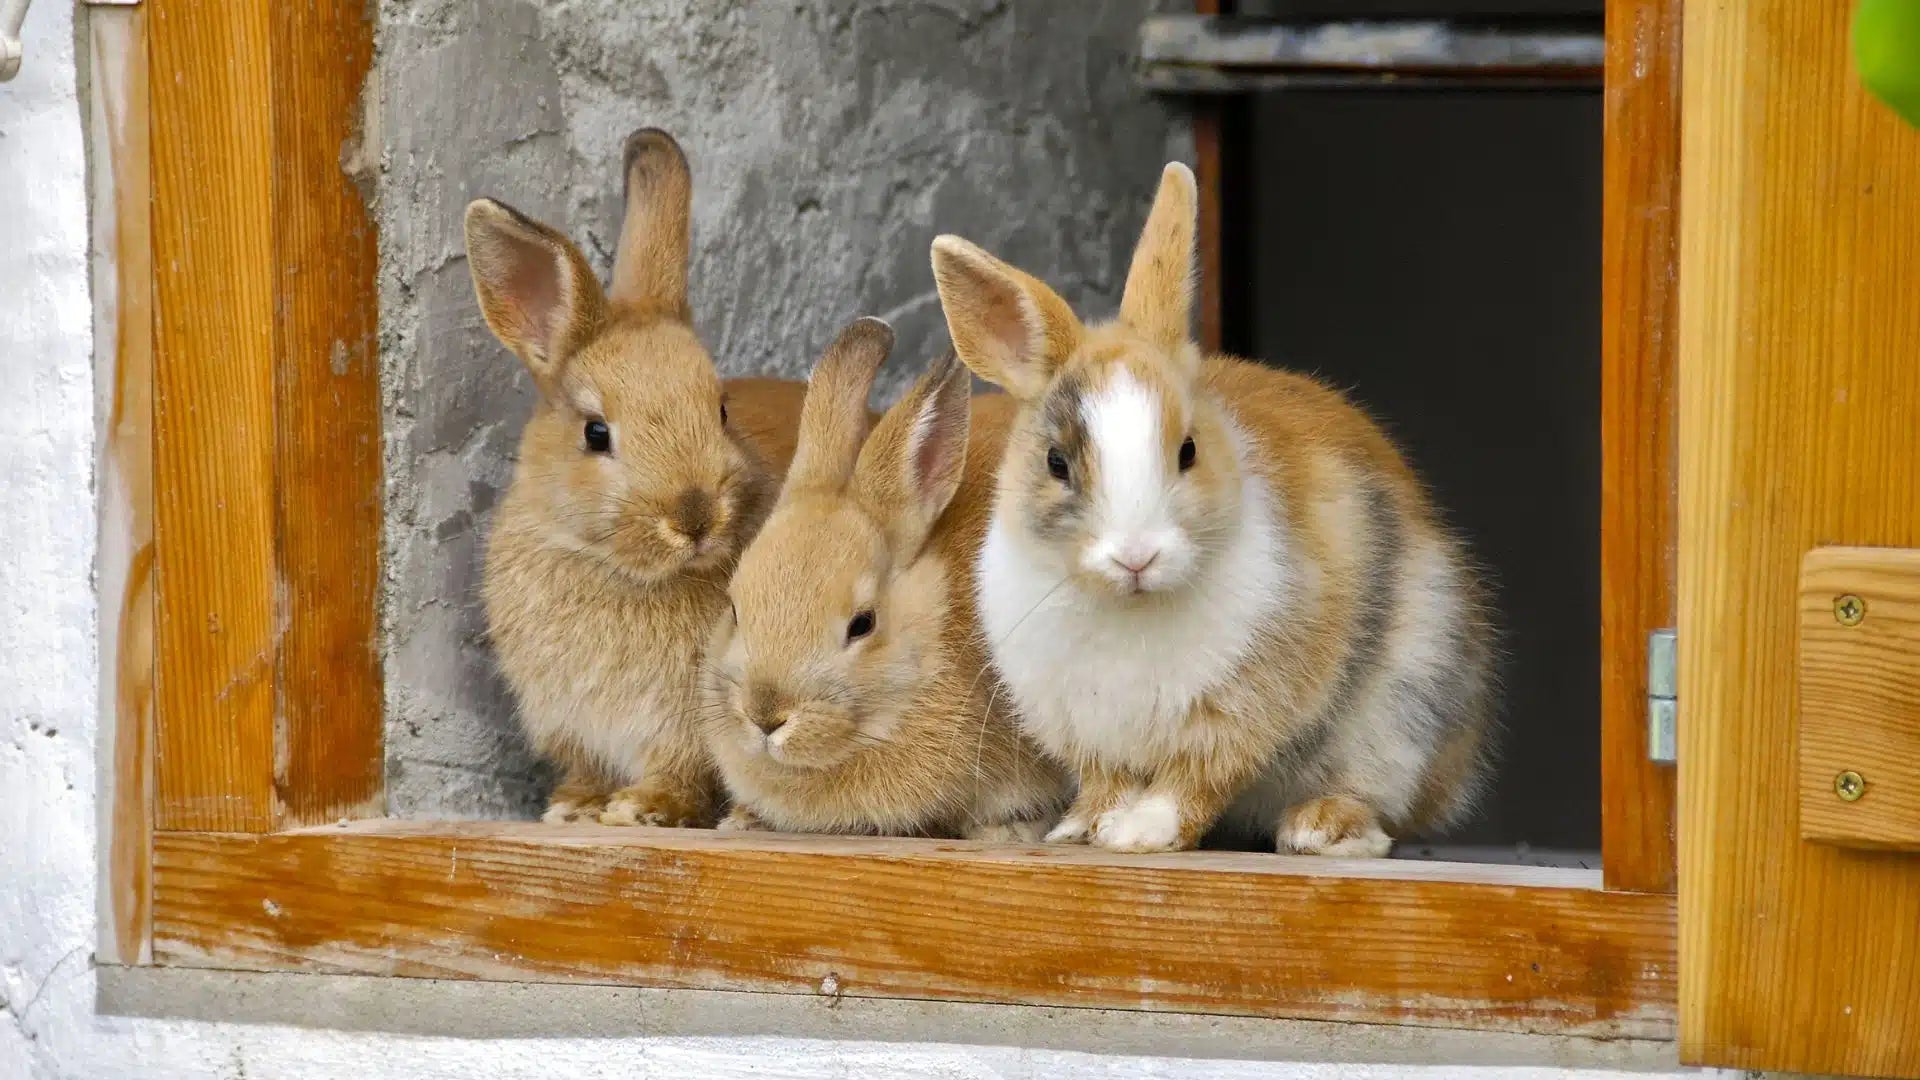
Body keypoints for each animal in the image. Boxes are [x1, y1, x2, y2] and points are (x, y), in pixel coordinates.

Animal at [465, 129, 808, 827]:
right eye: (596, 433)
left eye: (721, 409)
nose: (695, 516)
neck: (619, 571)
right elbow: (590, 769)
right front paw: (574, 806)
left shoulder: (687, 727)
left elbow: (681, 771)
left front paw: (643, 809)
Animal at [927, 162, 1497, 856]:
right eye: (1056, 463)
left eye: (1189, 450)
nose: (1136, 556)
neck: (1129, 608)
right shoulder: (1084, 729)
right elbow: (1107, 781)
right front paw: (1084, 829)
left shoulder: (1239, 708)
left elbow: (1196, 777)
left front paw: (1142, 833)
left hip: (1405, 709)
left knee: (1379, 802)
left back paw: (1320, 829)